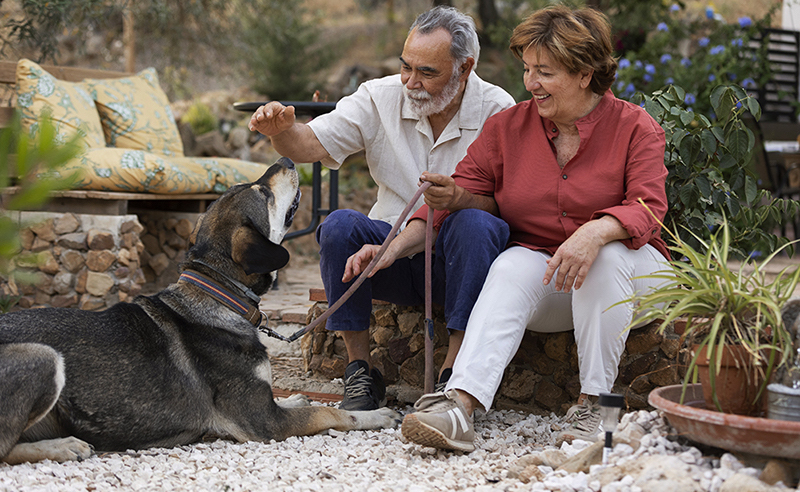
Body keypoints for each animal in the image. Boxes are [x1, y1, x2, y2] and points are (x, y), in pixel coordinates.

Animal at [0, 159, 400, 466]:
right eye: (263, 194)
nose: (286, 161)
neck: (219, 295)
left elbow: (289, 398)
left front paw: (295, 396)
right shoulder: (265, 424)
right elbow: (331, 412)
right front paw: (376, 414)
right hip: (43, 357)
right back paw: (63, 446)